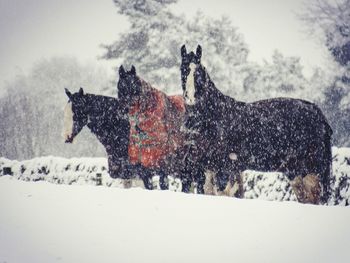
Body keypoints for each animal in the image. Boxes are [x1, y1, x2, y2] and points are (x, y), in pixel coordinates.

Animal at [180, 45, 334, 205]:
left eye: (198, 71)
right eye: (183, 69)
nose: (190, 97)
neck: (214, 116)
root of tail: (319, 114)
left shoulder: (223, 169)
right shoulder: (207, 167)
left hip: (312, 171)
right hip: (296, 172)